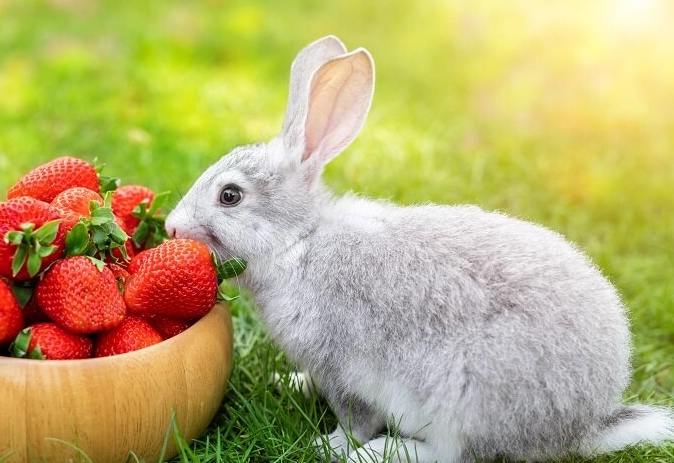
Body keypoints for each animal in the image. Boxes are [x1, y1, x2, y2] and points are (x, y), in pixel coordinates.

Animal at [165, 35, 674, 463]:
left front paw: (331, 445)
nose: (170, 227)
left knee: (455, 455)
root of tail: (581, 427)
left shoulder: (344, 368)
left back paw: (379, 453)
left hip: (463, 400)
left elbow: (356, 418)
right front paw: (292, 383)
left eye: (230, 196)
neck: (300, 241)